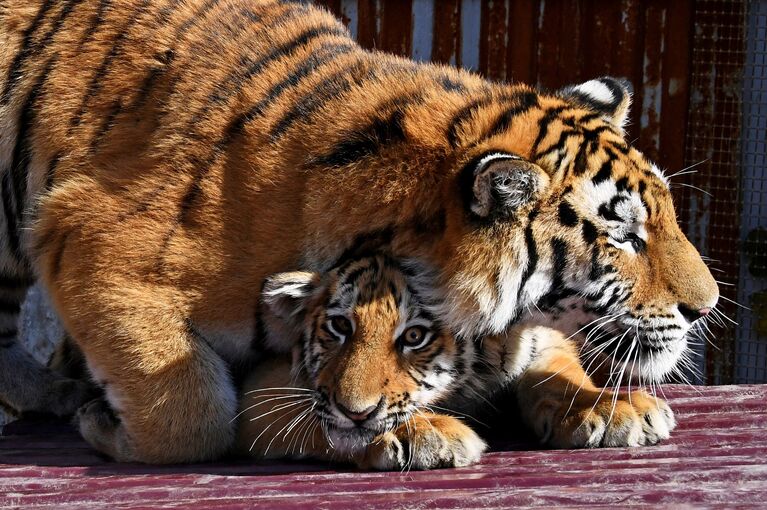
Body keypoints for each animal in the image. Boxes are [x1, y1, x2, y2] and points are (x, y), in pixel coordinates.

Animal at [1, 0, 720, 462]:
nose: (706, 306)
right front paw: (109, 428)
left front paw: (610, 406)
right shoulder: (88, 234)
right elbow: (191, 414)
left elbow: (547, 354)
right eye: (622, 235)